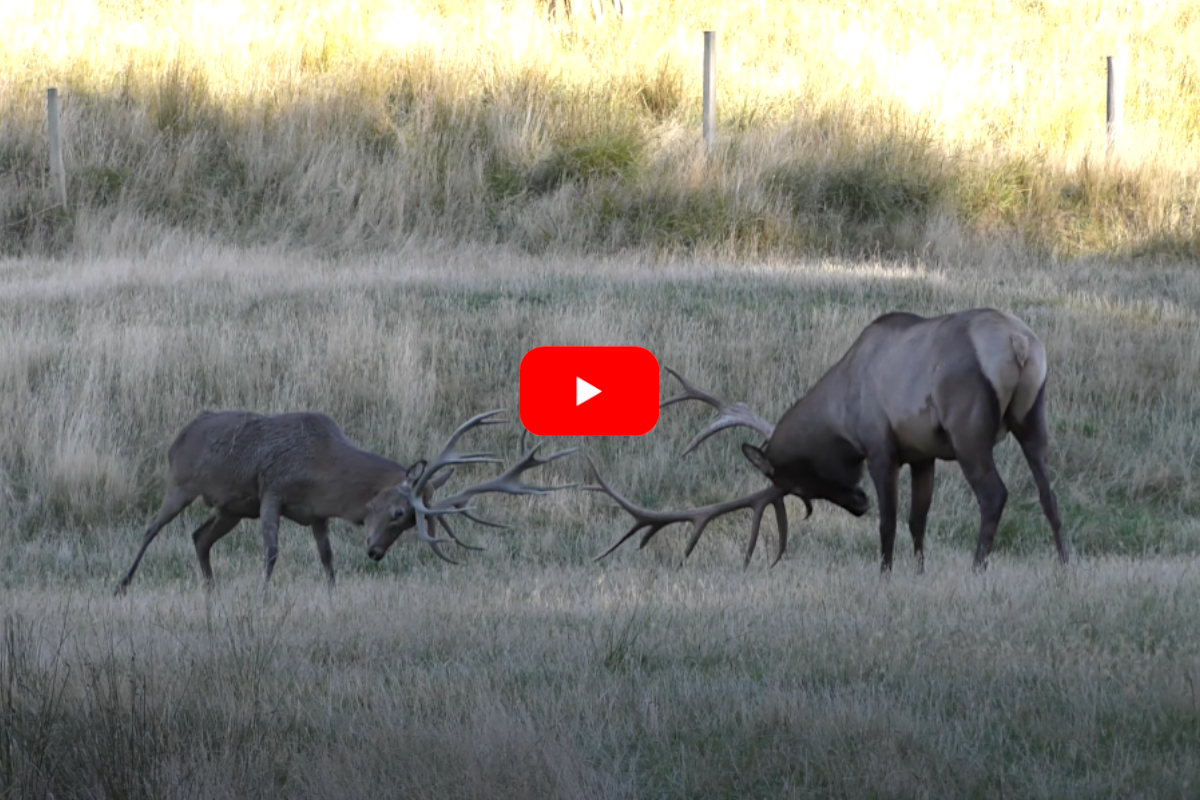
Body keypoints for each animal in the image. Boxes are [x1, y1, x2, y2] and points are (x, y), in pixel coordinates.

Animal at [117, 412, 571, 594]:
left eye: (411, 524)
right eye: (398, 512)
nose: (375, 553)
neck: (321, 470)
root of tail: (178, 437)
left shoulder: (316, 513)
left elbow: (327, 558)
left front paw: (333, 595)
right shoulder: (272, 490)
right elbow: (271, 550)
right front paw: (263, 594)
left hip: (230, 508)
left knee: (199, 537)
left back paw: (211, 590)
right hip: (181, 484)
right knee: (152, 527)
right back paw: (123, 583)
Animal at [590, 309, 1070, 575]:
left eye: (797, 487)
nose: (857, 502)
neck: (840, 414)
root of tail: (1018, 344)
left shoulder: (880, 447)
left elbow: (889, 522)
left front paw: (885, 575)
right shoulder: (923, 455)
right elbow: (918, 521)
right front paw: (918, 574)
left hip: (968, 428)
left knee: (995, 494)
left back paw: (977, 567)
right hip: (1033, 417)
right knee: (1048, 493)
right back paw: (1065, 565)